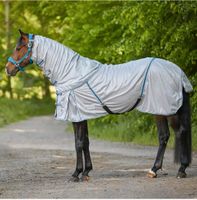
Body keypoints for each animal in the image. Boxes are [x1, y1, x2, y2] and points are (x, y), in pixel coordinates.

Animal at [5, 29, 192, 181]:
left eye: (19, 48)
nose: (7, 69)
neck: (71, 73)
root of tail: (178, 71)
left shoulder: (77, 116)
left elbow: (78, 143)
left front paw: (76, 174)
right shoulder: (82, 114)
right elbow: (86, 142)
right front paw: (87, 172)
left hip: (163, 109)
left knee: (173, 134)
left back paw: (175, 170)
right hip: (164, 108)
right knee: (168, 135)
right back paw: (160, 170)